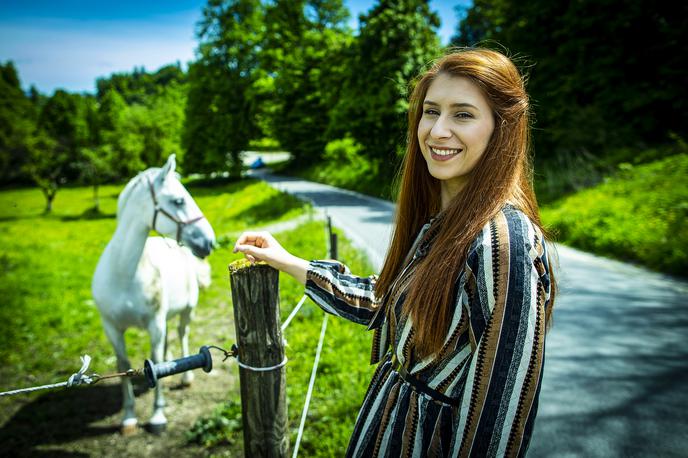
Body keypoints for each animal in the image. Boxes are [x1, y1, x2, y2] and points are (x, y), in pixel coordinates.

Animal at [91, 156, 215, 434]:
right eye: (179, 201)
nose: (209, 242)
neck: (123, 273)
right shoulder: (111, 327)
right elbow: (123, 364)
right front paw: (128, 417)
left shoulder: (154, 323)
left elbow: (156, 361)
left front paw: (158, 416)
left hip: (186, 312)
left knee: (181, 335)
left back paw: (186, 376)